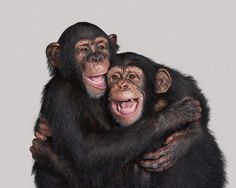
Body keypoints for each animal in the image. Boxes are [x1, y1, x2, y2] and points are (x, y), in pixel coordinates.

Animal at [31, 22, 201, 188]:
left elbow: (182, 83)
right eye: (84, 49)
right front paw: (175, 115)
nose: (97, 57)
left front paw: (187, 137)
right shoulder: (60, 95)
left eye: (101, 46)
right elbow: (88, 153)